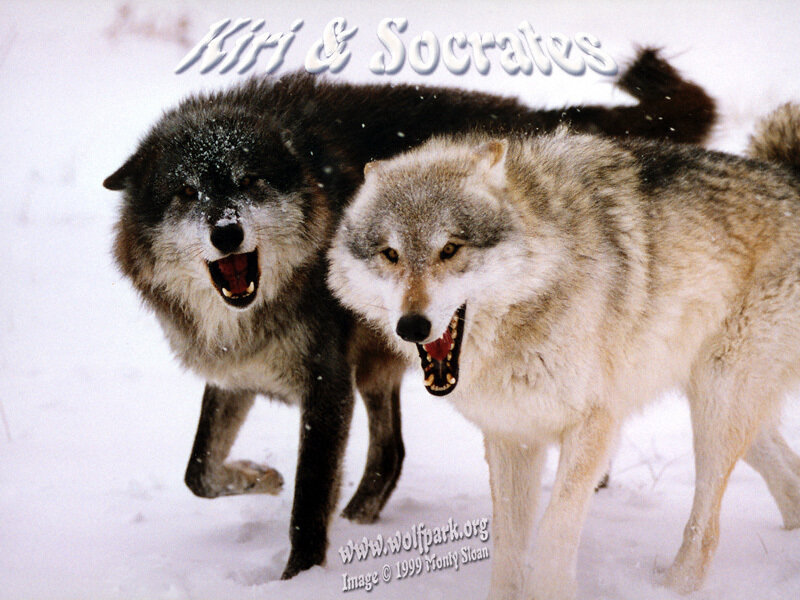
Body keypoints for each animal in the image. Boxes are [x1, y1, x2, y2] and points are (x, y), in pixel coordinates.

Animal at [103, 49, 716, 579]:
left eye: (249, 181)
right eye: (186, 192)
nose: (227, 232)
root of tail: (536, 119)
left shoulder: (327, 385)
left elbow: (306, 507)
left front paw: (299, 576)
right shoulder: (236, 373)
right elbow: (199, 472)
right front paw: (261, 476)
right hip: (388, 363)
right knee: (392, 452)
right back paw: (360, 520)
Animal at [328, 104, 800, 598]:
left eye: (450, 249)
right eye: (391, 254)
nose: (411, 326)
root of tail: (789, 173)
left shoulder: (596, 425)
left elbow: (555, 532)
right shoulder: (511, 434)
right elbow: (509, 549)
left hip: (718, 405)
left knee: (706, 528)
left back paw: (674, 587)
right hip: (727, 410)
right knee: (790, 484)